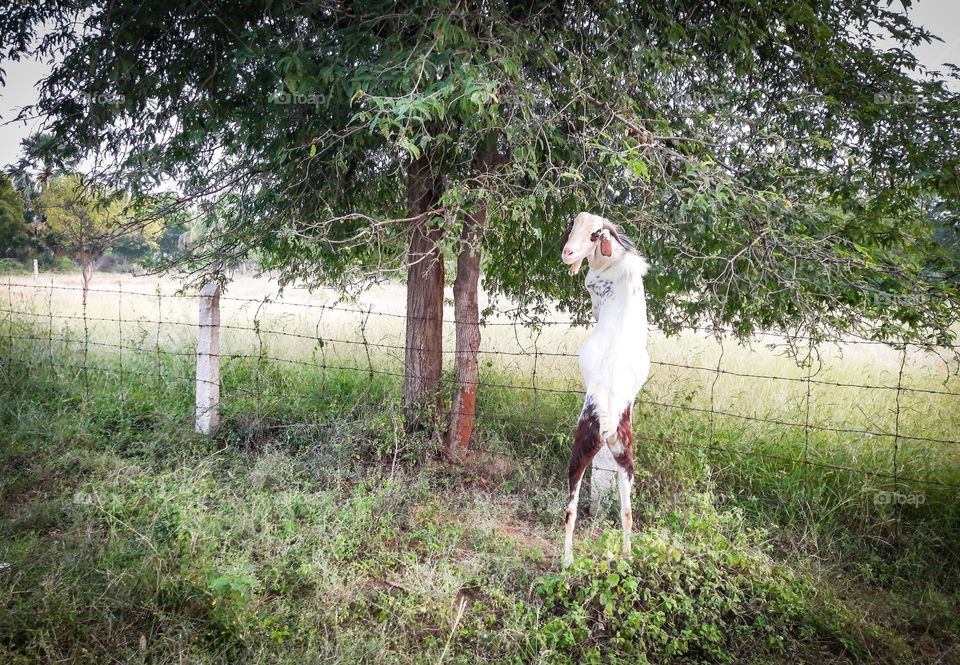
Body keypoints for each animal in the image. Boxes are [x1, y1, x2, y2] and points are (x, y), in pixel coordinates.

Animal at [559, 212, 650, 569]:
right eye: (573, 225)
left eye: (595, 234)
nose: (567, 253)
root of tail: (609, 420)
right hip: (625, 455)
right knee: (627, 510)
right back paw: (626, 554)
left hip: (579, 448)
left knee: (570, 508)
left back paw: (567, 560)